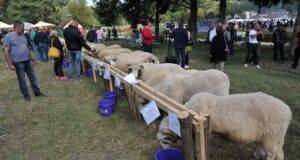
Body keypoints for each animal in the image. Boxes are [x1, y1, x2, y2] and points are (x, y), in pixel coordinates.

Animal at [158, 92, 292, 160]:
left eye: (165, 141)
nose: (164, 152)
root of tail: (288, 111)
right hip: (272, 137)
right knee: (277, 153)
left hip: (272, 136)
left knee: (271, 154)